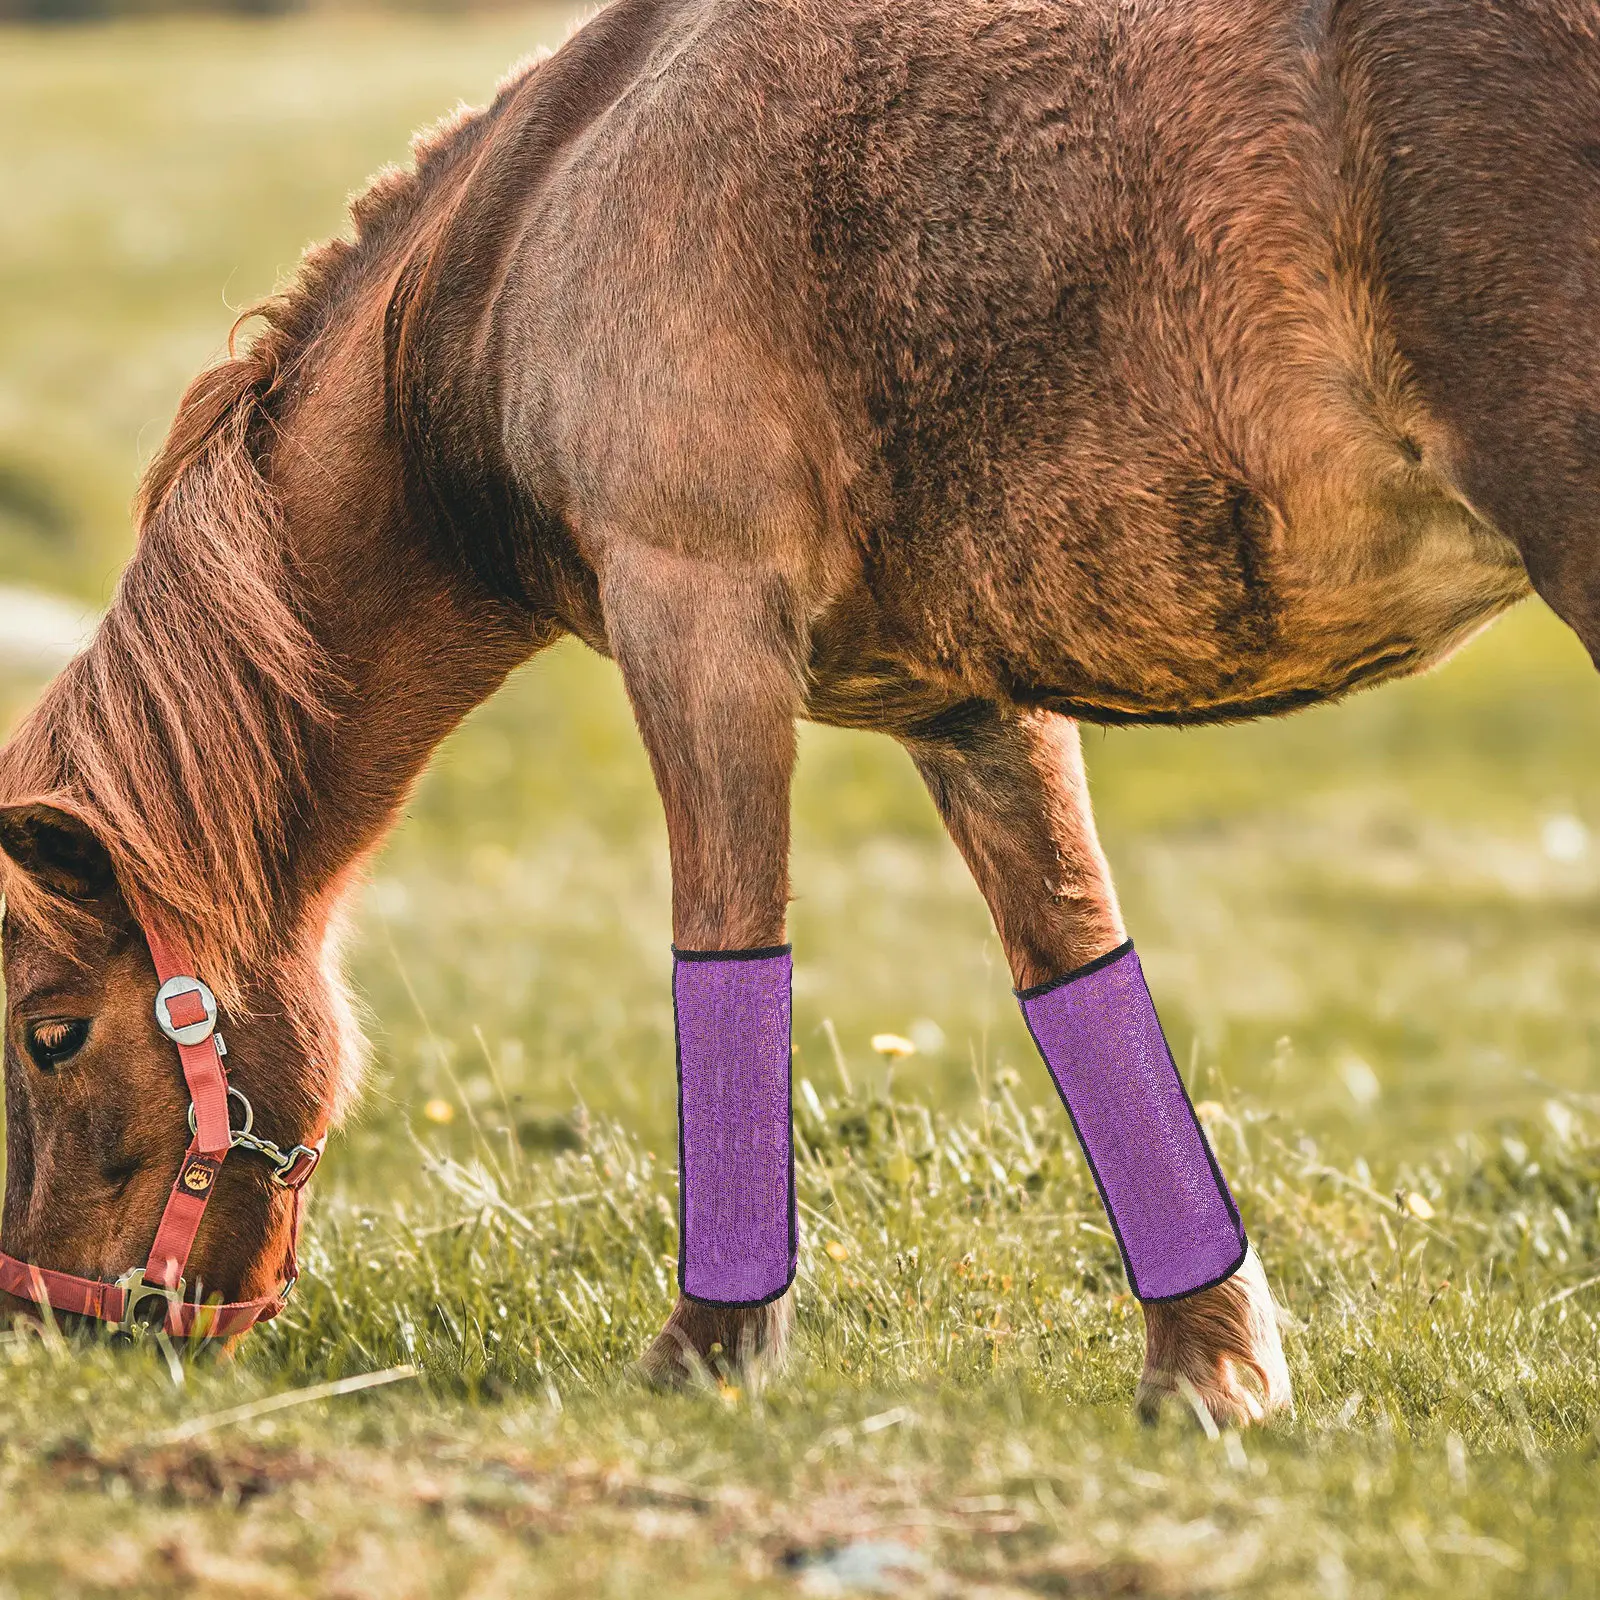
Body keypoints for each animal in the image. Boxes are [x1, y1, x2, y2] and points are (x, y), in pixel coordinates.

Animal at [0, 0, 1593, 1425]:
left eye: (49, 1035)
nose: (48, 1334)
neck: (539, 218)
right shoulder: (976, 711)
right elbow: (1078, 966)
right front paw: (1210, 1368)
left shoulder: (696, 619)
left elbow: (728, 949)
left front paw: (708, 1355)